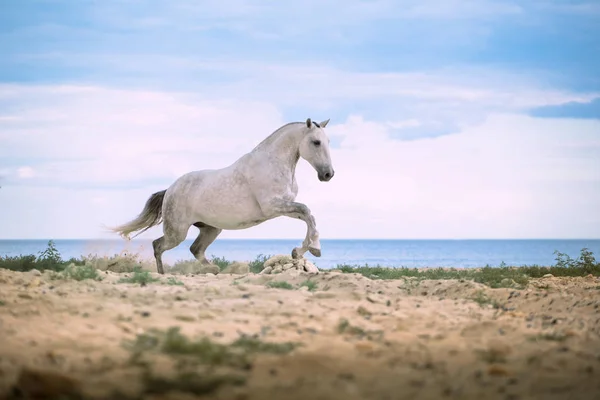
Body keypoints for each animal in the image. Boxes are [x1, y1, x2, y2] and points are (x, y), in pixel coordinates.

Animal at [110, 119, 336, 274]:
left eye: (328, 141)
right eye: (316, 142)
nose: (328, 174)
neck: (272, 164)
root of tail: (170, 190)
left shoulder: (283, 207)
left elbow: (308, 216)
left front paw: (300, 251)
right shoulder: (273, 206)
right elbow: (307, 211)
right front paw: (314, 248)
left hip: (210, 228)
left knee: (195, 249)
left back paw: (213, 269)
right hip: (177, 231)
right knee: (158, 245)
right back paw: (163, 274)